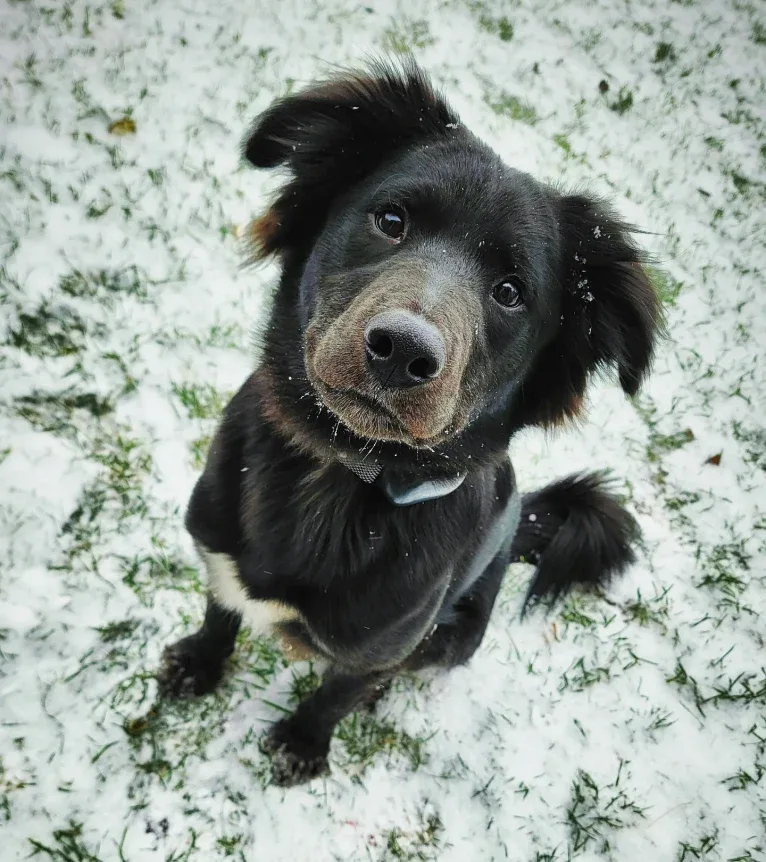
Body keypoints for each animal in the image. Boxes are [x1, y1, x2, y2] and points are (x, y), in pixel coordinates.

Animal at [159, 60, 664, 788]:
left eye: (510, 292)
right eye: (390, 219)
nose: (402, 351)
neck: (337, 472)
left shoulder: (383, 643)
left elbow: (337, 690)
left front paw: (302, 743)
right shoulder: (217, 553)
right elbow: (219, 611)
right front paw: (200, 663)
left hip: (455, 636)